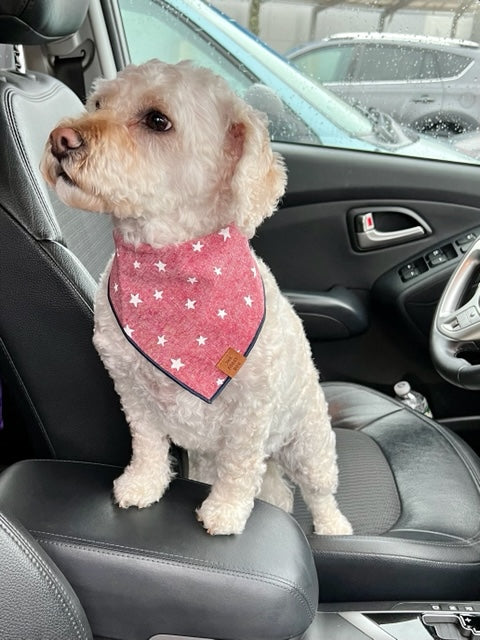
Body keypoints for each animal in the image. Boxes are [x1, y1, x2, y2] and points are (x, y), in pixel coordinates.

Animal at [42, 60, 352, 536]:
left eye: (157, 120)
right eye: (97, 103)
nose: (61, 138)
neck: (169, 261)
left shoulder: (251, 409)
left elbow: (239, 464)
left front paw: (226, 510)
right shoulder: (132, 388)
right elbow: (149, 443)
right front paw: (143, 484)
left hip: (309, 445)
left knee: (319, 495)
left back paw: (333, 526)